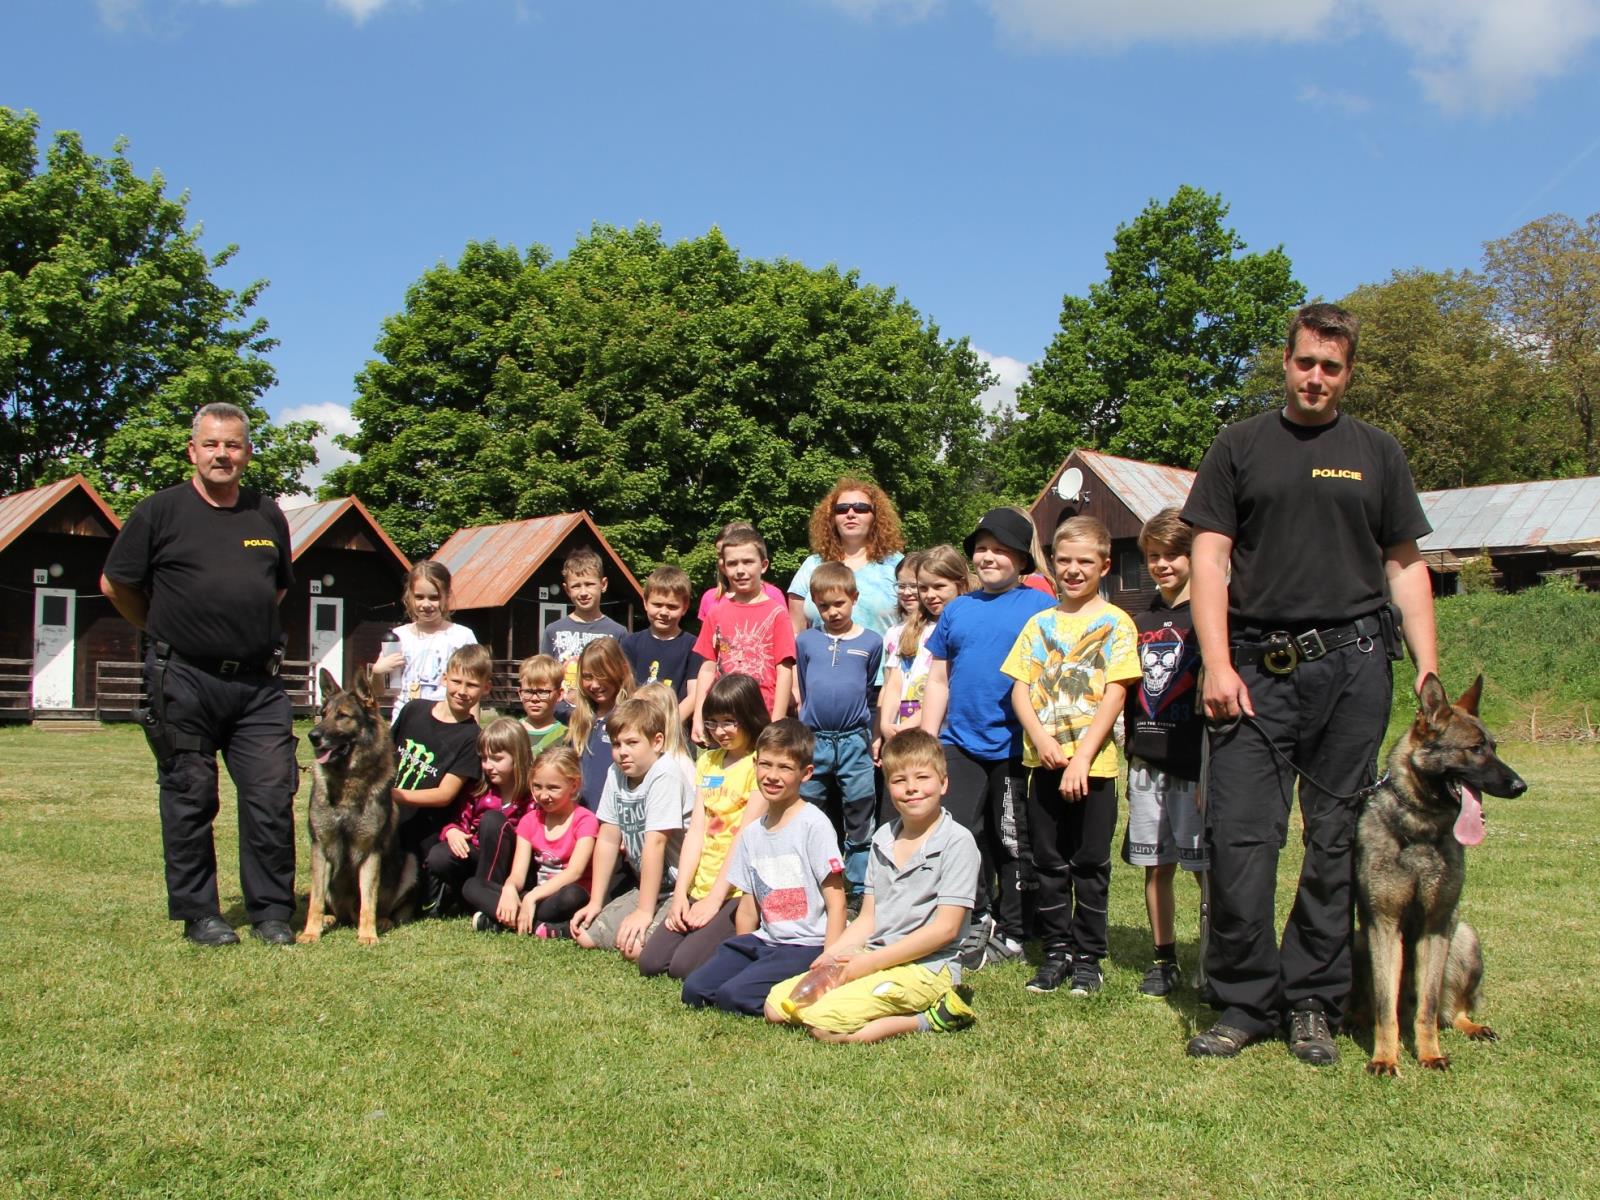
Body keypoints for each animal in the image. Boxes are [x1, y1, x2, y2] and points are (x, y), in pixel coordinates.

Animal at [296, 672, 416, 947]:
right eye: (323, 713)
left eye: (343, 716)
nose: (313, 736)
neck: (347, 781)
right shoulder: (320, 848)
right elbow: (315, 900)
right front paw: (310, 931)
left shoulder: (370, 851)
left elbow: (369, 901)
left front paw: (368, 934)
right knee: (331, 906)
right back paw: (329, 919)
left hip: (410, 864)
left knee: (383, 908)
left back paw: (382, 921)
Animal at [1356, 678, 1529, 1081]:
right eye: (1474, 749)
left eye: (1495, 747)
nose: (1520, 785)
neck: (1419, 828)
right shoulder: (1383, 924)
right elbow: (1385, 1006)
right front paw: (1385, 1058)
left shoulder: (1437, 926)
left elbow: (1430, 1004)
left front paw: (1430, 1054)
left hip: (1464, 937)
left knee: (1450, 1011)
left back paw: (1471, 1027)